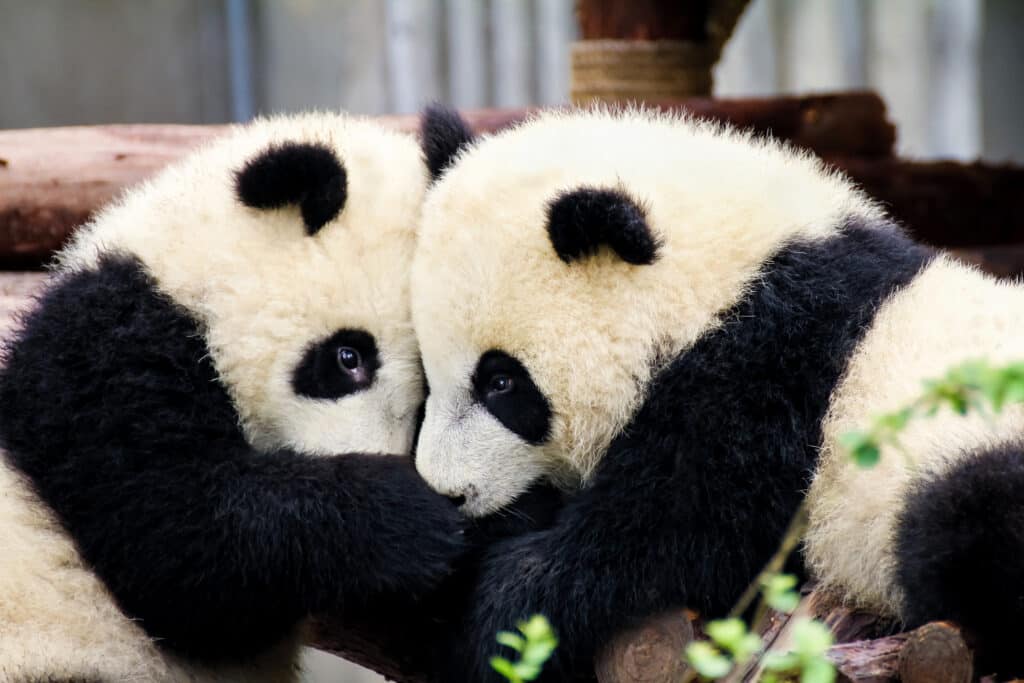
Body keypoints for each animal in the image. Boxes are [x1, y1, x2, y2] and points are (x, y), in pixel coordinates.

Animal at [411, 104, 1024, 679]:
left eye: (501, 382)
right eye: (426, 371)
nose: (448, 493)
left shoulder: (768, 376)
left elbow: (678, 537)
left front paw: (496, 610)